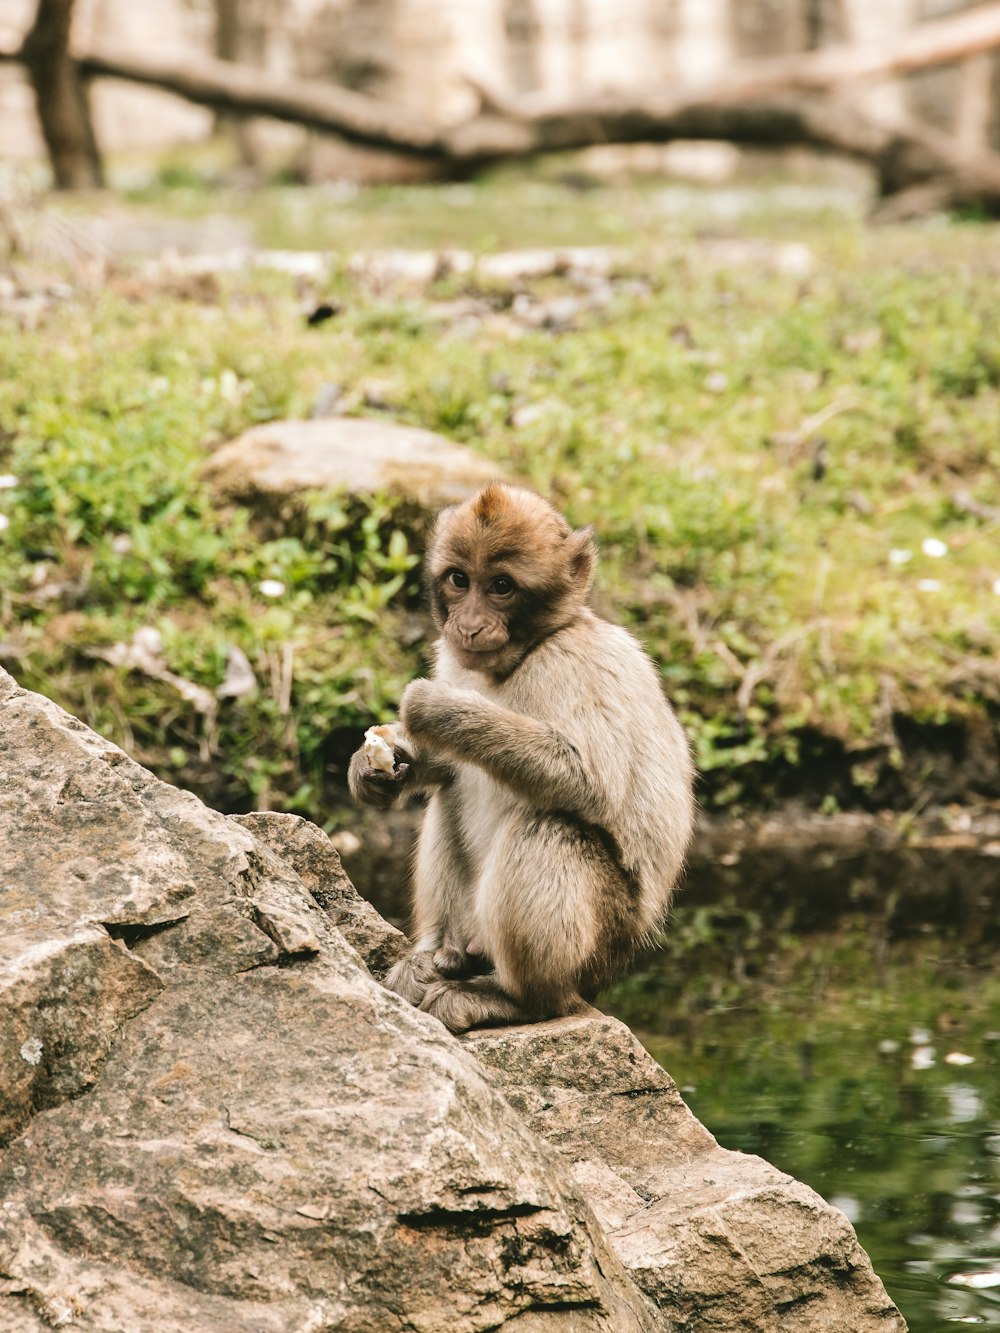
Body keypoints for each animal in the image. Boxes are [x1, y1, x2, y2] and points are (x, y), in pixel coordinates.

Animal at [352, 485, 698, 1034]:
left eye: (501, 586)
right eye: (459, 579)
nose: (469, 625)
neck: (526, 652)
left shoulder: (573, 662)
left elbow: (587, 781)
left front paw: (437, 708)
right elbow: (445, 767)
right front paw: (374, 769)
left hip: (600, 946)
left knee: (552, 826)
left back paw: (519, 1000)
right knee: (453, 793)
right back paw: (442, 958)